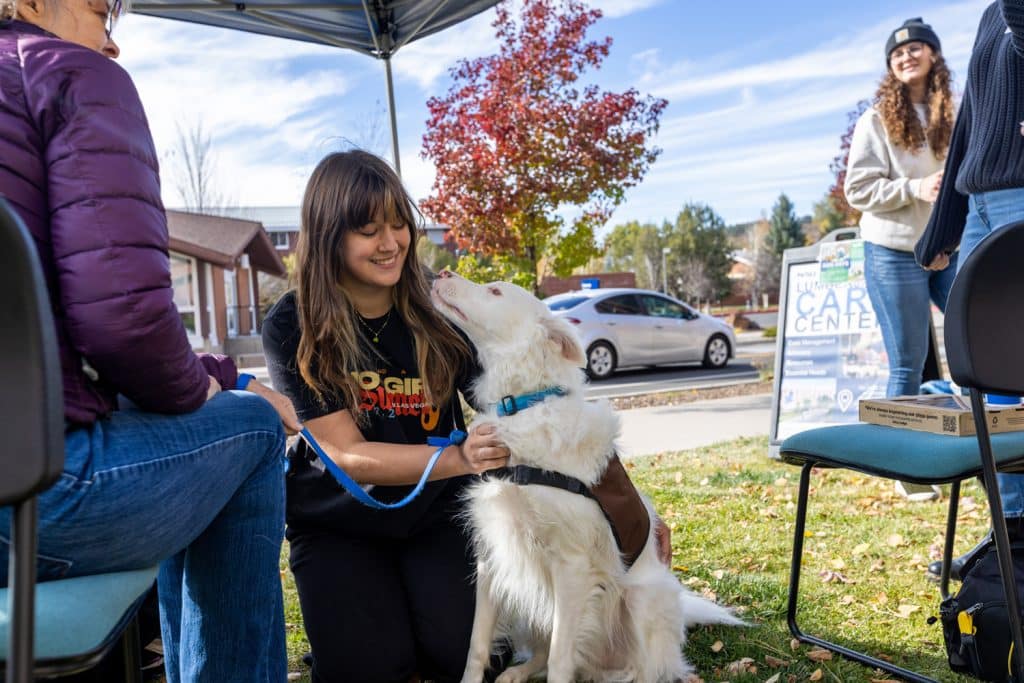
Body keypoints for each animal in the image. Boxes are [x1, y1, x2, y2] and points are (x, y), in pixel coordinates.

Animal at [432, 270, 745, 679]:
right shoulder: (493, 555)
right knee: (544, 654)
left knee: (649, 670)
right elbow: (477, 645)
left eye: (495, 291)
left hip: (643, 599)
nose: (441, 273)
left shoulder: (572, 567)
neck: (523, 406)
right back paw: (519, 671)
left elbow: (561, 658)